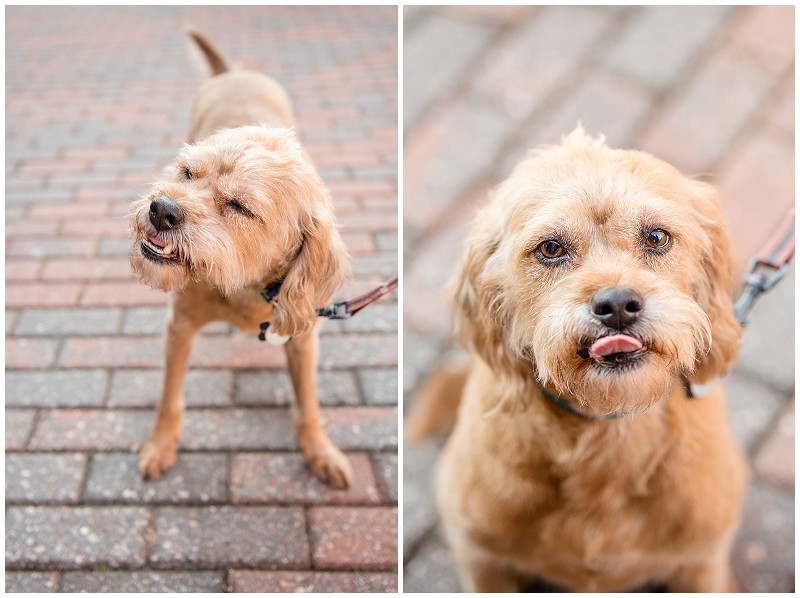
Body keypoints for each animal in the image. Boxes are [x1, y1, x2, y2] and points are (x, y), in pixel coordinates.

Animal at [130, 30, 352, 488]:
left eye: (239, 206)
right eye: (187, 174)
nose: (161, 209)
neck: (244, 286)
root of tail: (234, 72)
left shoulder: (304, 340)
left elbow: (309, 402)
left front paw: (320, 450)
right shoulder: (179, 328)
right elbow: (168, 397)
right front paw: (160, 445)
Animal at [412, 129, 752, 592]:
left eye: (656, 237)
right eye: (551, 248)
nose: (618, 306)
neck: (604, 430)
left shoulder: (702, 565)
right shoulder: (482, 560)